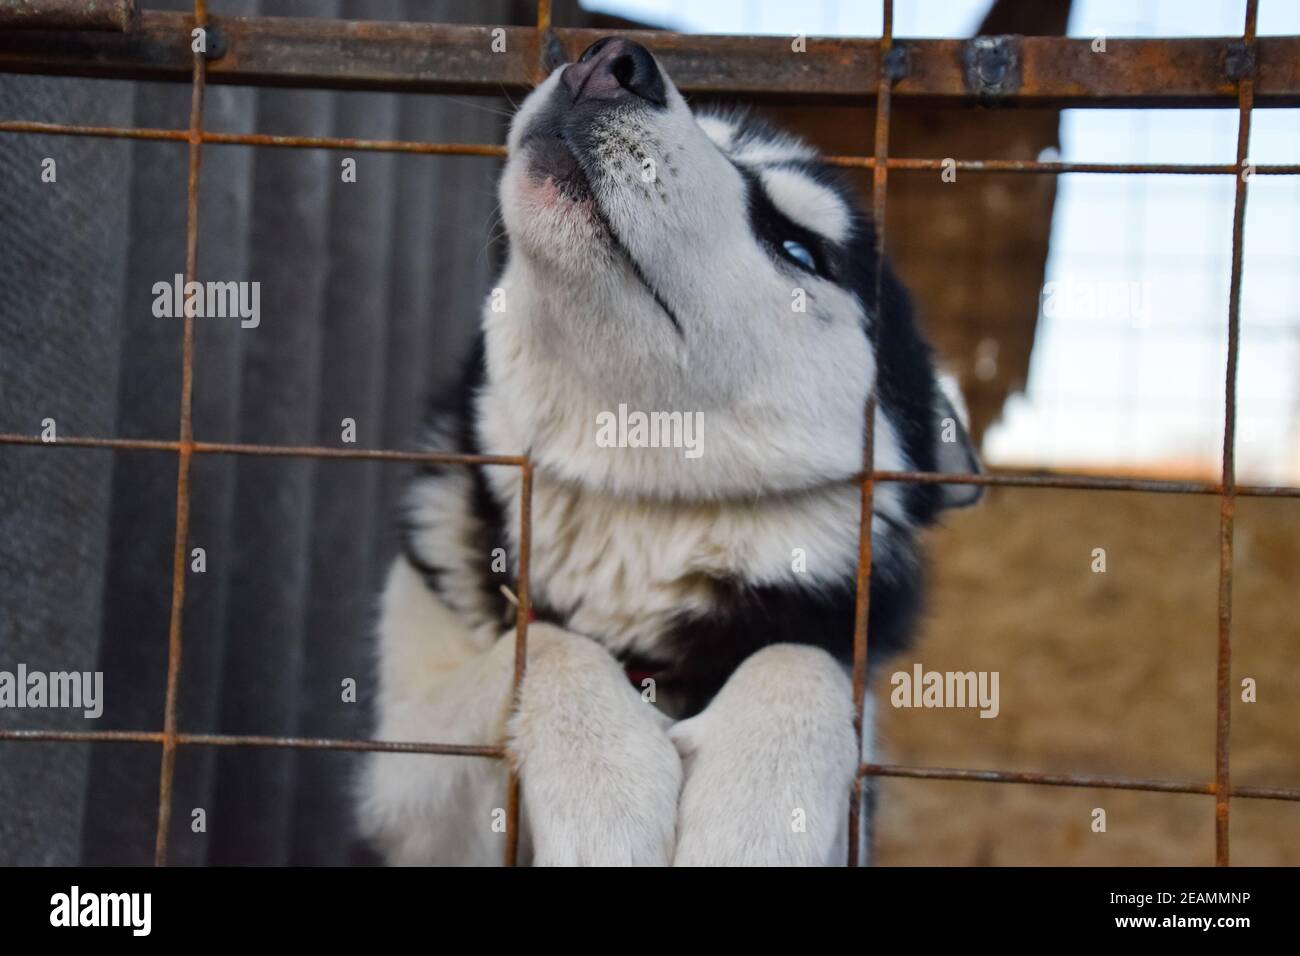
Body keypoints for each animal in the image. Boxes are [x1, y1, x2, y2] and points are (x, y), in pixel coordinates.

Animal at [356, 37, 977, 868]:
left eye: (798, 247)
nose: (611, 62)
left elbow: (799, 658)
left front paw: (757, 813)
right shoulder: (394, 794)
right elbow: (539, 640)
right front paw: (607, 787)